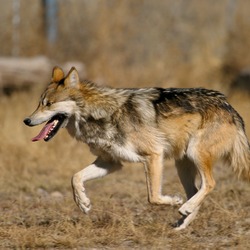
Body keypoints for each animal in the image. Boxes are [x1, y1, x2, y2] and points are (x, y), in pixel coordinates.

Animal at [23, 67, 250, 230]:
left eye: (49, 104)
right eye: (39, 103)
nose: (27, 120)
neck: (101, 114)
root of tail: (229, 107)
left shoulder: (153, 155)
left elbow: (153, 197)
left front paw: (173, 201)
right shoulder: (110, 162)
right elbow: (75, 177)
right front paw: (83, 203)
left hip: (195, 155)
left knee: (210, 184)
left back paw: (184, 207)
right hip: (182, 165)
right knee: (196, 191)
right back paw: (182, 223)